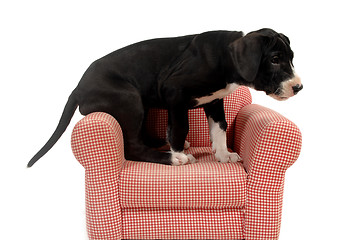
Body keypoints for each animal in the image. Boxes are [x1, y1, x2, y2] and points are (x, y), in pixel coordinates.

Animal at [27, 28, 300, 167]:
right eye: (275, 59)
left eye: (291, 58)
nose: (298, 86)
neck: (225, 57)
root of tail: (77, 87)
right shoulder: (174, 92)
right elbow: (180, 127)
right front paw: (178, 152)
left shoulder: (215, 101)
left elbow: (220, 128)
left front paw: (223, 155)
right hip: (130, 99)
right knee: (132, 147)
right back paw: (170, 156)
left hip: (139, 103)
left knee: (139, 136)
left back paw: (159, 142)